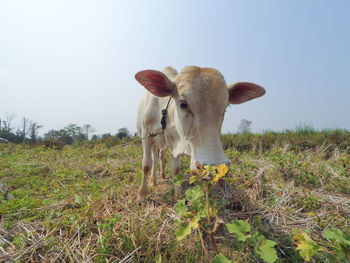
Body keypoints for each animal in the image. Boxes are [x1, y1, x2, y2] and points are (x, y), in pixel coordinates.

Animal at [135, 66, 266, 200]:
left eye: (226, 106)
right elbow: (146, 165)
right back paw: (153, 181)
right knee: (154, 159)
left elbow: (176, 170)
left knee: (160, 157)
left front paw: (177, 197)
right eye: (182, 103)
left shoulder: (177, 140)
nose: (214, 166)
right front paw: (142, 194)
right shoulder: (146, 134)